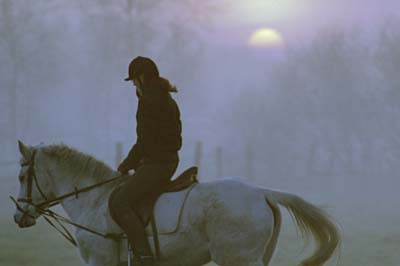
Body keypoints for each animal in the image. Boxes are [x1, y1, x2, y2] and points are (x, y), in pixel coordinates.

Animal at [12, 141, 340, 266]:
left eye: (22, 175)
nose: (18, 217)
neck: (94, 199)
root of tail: (261, 192)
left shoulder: (100, 261)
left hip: (237, 259)